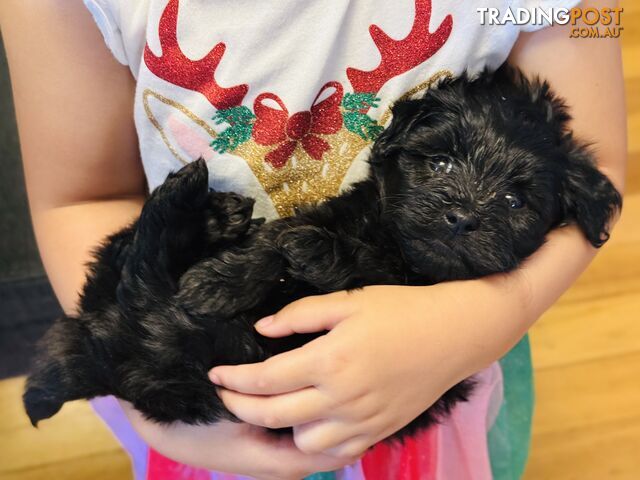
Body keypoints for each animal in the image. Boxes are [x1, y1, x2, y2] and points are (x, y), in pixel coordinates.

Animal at [23, 66, 620, 442]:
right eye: (441, 163)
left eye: (514, 201)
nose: (461, 218)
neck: (396, 246)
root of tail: (103, 353)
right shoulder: (341, 211)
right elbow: (275, 242)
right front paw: (218, 281)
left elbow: (341, 259)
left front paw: (309, 251)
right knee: (127, 261)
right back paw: (208, 210)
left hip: (203, 352)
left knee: (142, 271)